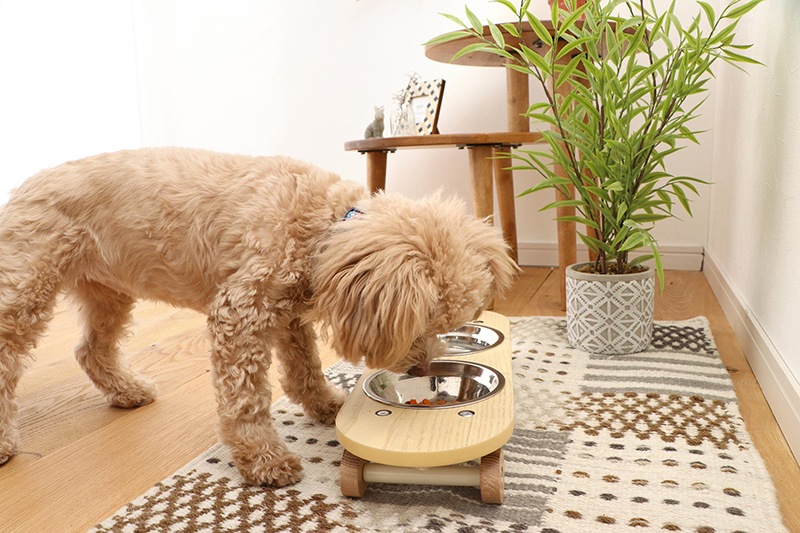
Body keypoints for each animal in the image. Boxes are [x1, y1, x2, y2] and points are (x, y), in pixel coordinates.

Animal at [0, 147, 518, 486]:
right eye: (420, 326)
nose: (423, 369)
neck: (322, 224)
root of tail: (23, 185)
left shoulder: (288, 316)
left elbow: (306, 370)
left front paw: (326, 405)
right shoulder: (239, 314)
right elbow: (246, 402)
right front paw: (264, 459)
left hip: (108, 292)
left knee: (90, 349)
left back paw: (127, 391)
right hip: (27, 291)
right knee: (11, 359)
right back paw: (5, 442)